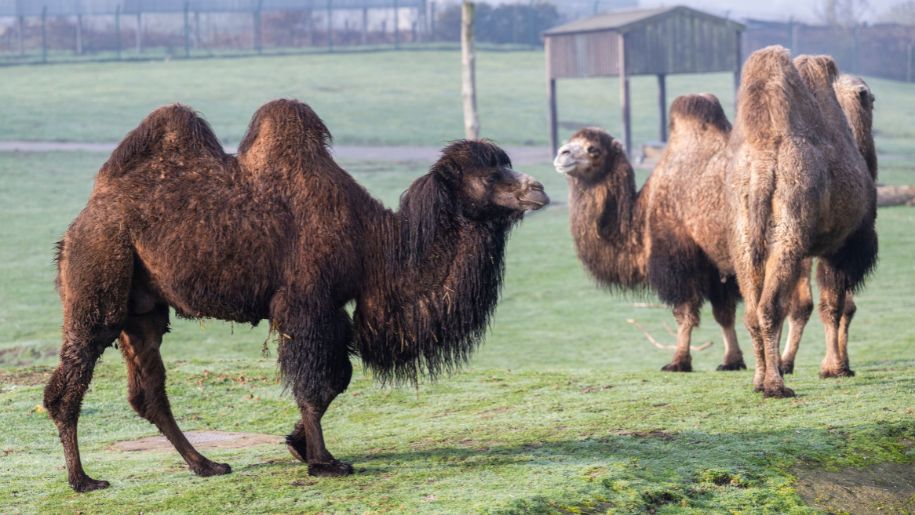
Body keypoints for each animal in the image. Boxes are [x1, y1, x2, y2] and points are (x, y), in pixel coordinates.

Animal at [43, 99, 549, 492]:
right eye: (491, 174)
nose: (539, 189)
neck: (375, 242)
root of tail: (82, 217)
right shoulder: (307, 300)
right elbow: (315, 381)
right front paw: (324, 462)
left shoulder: (333, 309)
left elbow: (338, 376)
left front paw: (297, 444)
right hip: (99, 271)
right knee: (71, 376)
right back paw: (82, 479)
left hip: (143, 308)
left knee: (148, 389)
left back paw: (206, 465)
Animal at [728, 47, 876, 397]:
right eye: (873, 101)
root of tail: (763, 166)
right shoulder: (839, 248)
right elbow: (834, 305)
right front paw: (835, 368)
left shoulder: (811, 250)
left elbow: (806, 305)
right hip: (788, 235)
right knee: (769, 307)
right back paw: (776, 386)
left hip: (745, 239)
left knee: (753, 310)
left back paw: (759, 380)